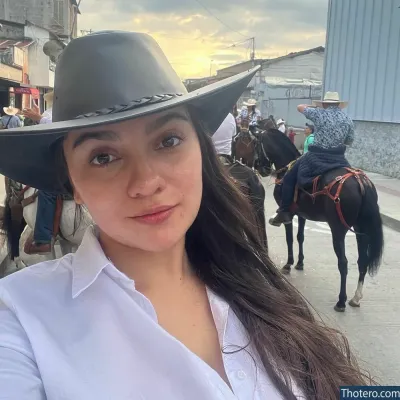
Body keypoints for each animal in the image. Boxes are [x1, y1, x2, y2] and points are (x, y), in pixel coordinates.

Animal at [260, 130, 382, 310]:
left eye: (254, 142)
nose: (263, 169)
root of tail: (361, 182)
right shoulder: (301, 214)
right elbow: (300, 237)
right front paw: (299, 263)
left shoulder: (289, 214)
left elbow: (290, 238)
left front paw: (289, 264)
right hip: (362, 230)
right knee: (362, 262)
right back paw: (355, 298)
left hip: (338, 230)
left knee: (343, 263)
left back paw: (341, 301)